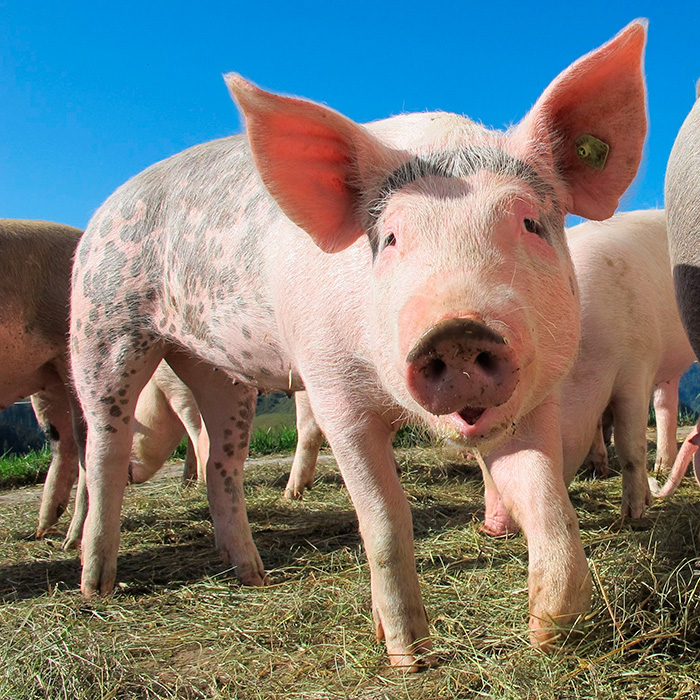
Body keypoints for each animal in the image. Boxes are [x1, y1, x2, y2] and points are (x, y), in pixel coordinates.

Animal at [69, 22, 647, 668]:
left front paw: (554, 637)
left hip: (218, 370)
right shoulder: (332, 391)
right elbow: (386, 520)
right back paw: (96, 587)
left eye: (529, 224)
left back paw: (252, 575)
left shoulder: (536, 394)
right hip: (103, 322)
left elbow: (547, 502)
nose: (459, 330)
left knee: (222, 461)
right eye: (390, 237)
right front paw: (410, 657)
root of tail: (104, 209)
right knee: (106, 449)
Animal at [483, 211, 695, 536]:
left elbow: (630, 443)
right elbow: (596, 428)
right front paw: (598, 469)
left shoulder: (637, 368)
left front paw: (633, 515)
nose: (490, 526)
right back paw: (660, 468)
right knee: (665, 403)